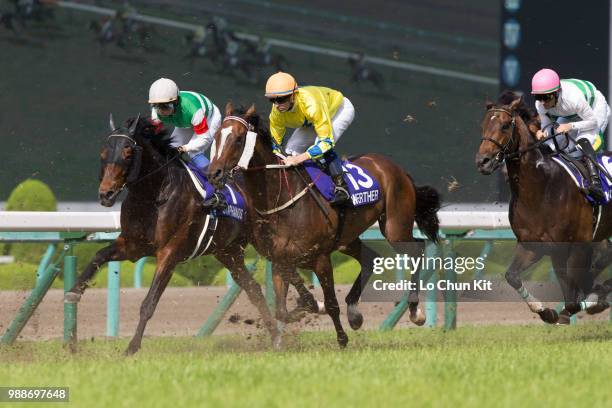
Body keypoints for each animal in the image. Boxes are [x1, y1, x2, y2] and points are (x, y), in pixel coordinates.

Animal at [64, 115, 284, 354]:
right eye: (103, 154)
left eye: (127, 153)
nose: (106, 194)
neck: (154, 196)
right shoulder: (132, 246)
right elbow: (99, 255)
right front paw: (74, 291)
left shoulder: (170, 253)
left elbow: (149, 303)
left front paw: (132, 347)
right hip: (228, 252)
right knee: (253, 289)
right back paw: (276, 336)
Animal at [207, 104, 440, 348]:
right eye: (216, 136)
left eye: (238, 139)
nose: (214, 173)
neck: (280, 200)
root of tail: (396, 168)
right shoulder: (281, 260)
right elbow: (281, 311)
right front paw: (303, 313)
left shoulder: (321, 259)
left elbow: (331, 304)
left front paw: (341, 339)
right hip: (347, 239)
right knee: (370, 257)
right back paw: (354, 313)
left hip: (395, 227)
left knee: (417, 249)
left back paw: (415, 311)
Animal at [478, 95, 612, 322]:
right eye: (483, 125)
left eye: (505, 126)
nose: (483, 161)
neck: (542, 189)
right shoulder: (537, 246)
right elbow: (512, 276)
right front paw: (545, 311)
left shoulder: (578, 245)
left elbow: (575, 296)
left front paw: (596, 300)